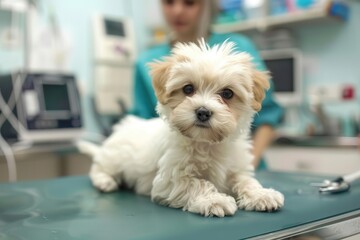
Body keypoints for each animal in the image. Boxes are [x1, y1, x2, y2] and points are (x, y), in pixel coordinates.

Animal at [79, 39, 284, 218]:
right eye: (188, 89)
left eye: (227, 93)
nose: (203, 112)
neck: (206, 143)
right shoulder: (168, 179)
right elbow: (195, 183)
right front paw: (214, 200)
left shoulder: (237, 167)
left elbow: (246, 180)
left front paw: (261, 195)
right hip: (114, 158)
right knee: (98, 167)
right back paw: (105, 181)